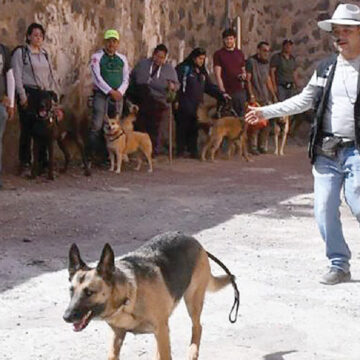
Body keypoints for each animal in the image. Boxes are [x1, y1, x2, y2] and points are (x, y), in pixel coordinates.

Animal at [63, 232, 240, 360]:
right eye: (71, 290)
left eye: (89, 292)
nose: (66, 317)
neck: (128, 298)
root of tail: (193, 240)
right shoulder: (118, 336)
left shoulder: (161, 330)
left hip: (193, 301)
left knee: (197, 326)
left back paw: (192, 352)